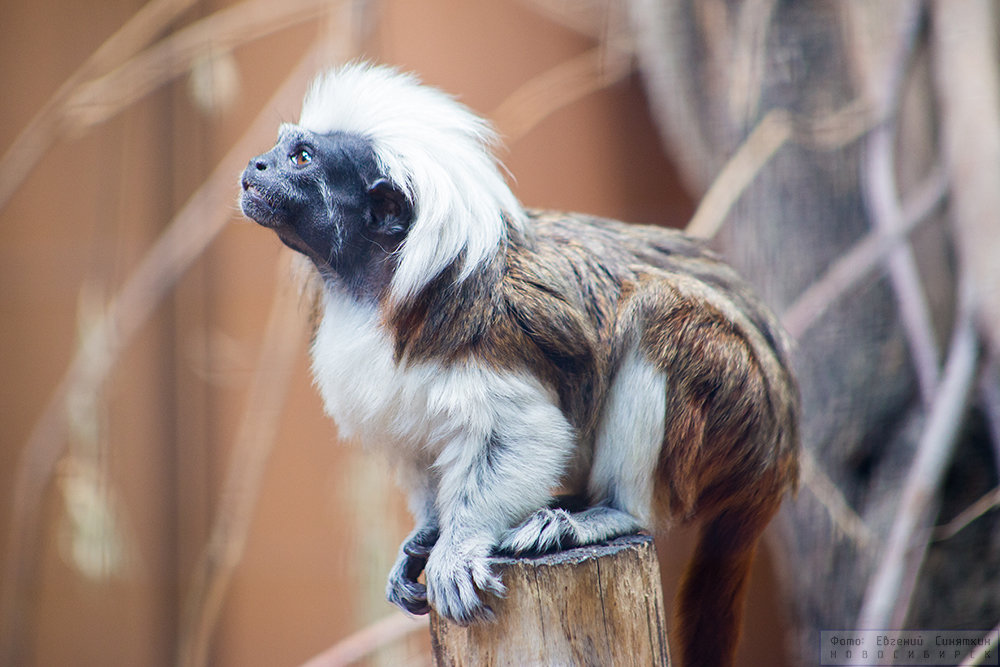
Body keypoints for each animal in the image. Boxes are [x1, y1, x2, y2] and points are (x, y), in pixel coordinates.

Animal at [240, 64, 796, 667]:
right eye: (280, 149)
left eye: (301, 158)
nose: (255, 165)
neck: (379, 291)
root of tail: (779, 456)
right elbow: (417, 446)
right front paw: (425, 536)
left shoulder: (491, 341)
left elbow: (522, 435)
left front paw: (458, 547)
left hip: (736, 405)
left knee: (661, 313)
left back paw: (604, 514)